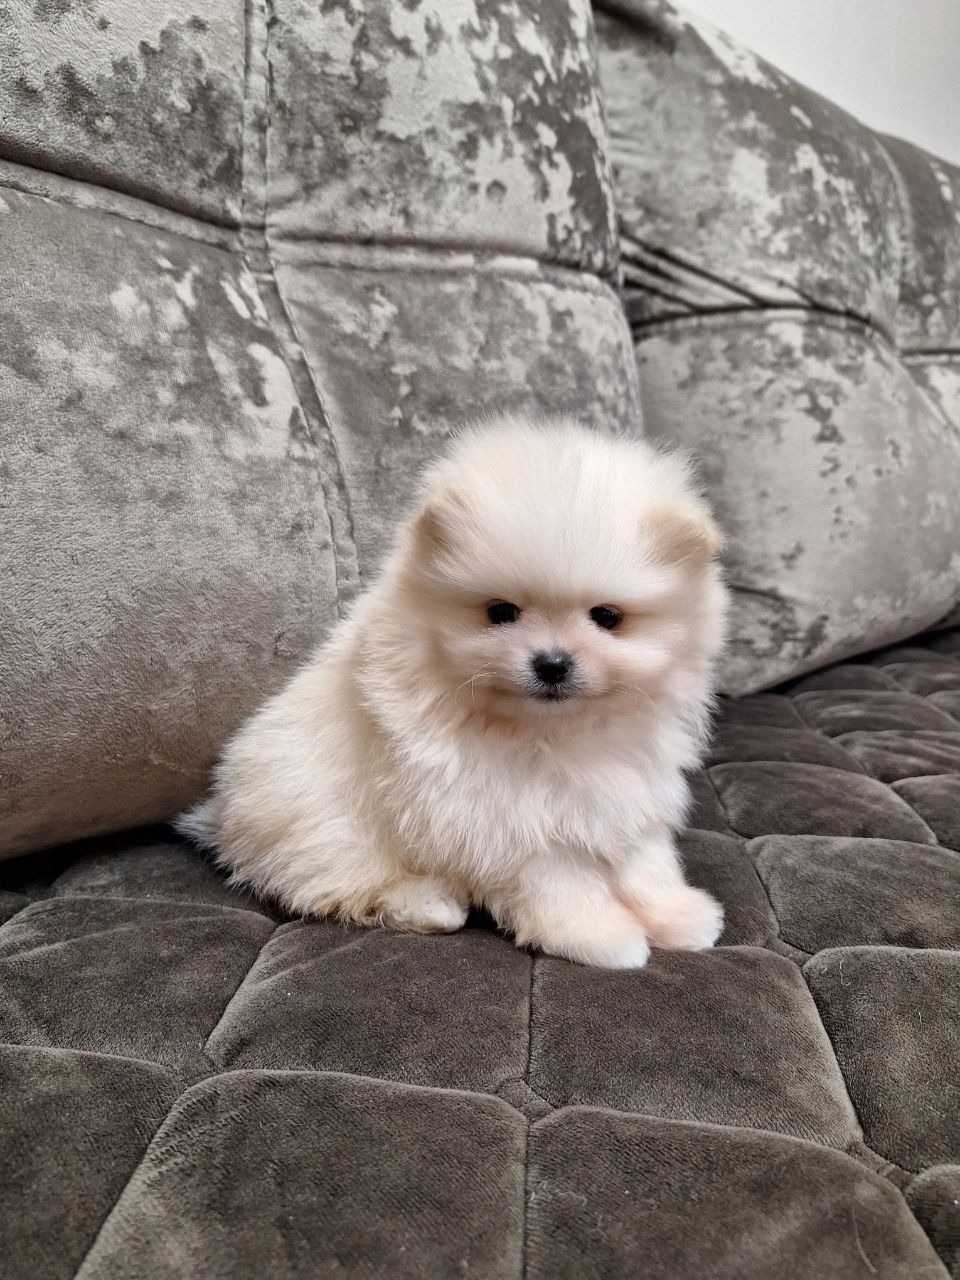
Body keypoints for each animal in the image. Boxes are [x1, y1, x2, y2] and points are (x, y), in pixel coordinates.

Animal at [178, 414, 728, 968]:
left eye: (607, 617)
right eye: (501, 612)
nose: (552, 663)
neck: (551, 730)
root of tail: (222, 817)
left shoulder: (627, 790)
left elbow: (644, 861)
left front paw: (680, 915)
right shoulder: (499, 818)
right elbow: (559, 878)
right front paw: (598, 935)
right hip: (322, 826)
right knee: (333, 883)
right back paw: (429, 904)